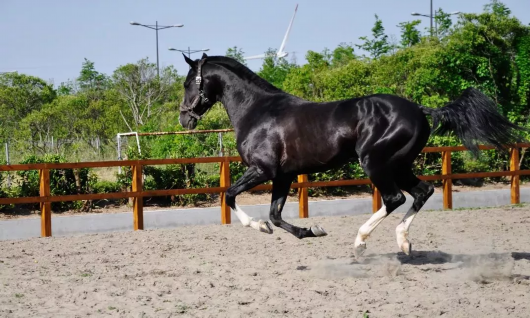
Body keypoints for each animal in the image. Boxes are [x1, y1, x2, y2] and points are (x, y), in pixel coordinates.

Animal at [178, 52, 524, 256]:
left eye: (188, 83)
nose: (184, 119)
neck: (258, 110)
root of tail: (419, 110)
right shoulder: (284, 175)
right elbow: (276, 214)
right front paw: (311, 231)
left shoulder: (262, 170)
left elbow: (230, 195)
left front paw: (260, 227)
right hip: (399, 165)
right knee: (422, 192)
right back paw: (403, 242)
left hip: (375, 162)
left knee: (395, 198)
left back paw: (360, 241)